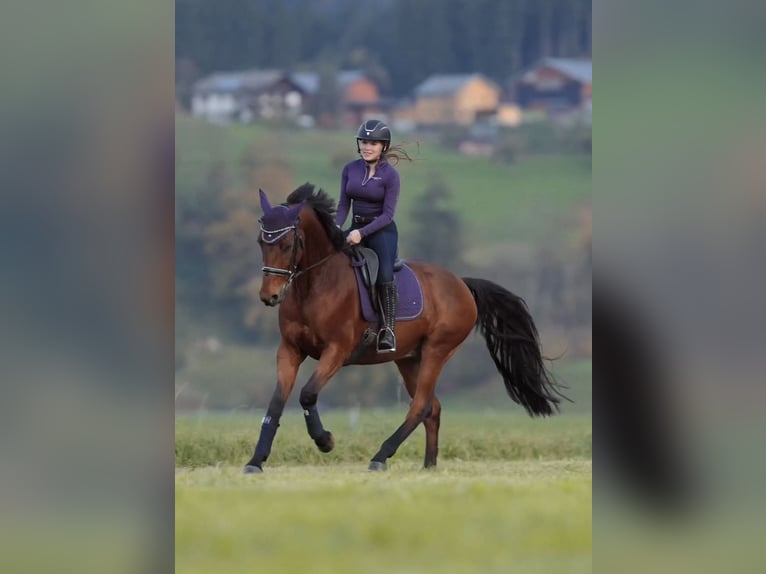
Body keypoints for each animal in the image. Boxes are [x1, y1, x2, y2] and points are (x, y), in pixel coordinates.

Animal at [245, 183, 566, 473]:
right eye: (261, 242)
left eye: (287, 245)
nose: (269, 296)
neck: (314, 285)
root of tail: (461, 284)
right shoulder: (290, 349)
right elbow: (276, 402)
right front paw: (256, 461)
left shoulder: (337, 350)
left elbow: (308, 394)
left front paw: (325, 441)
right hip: (408, 359)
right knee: (432, 408)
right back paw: (429, 466)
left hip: (437, 351)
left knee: (421, 405)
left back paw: (380, 457)